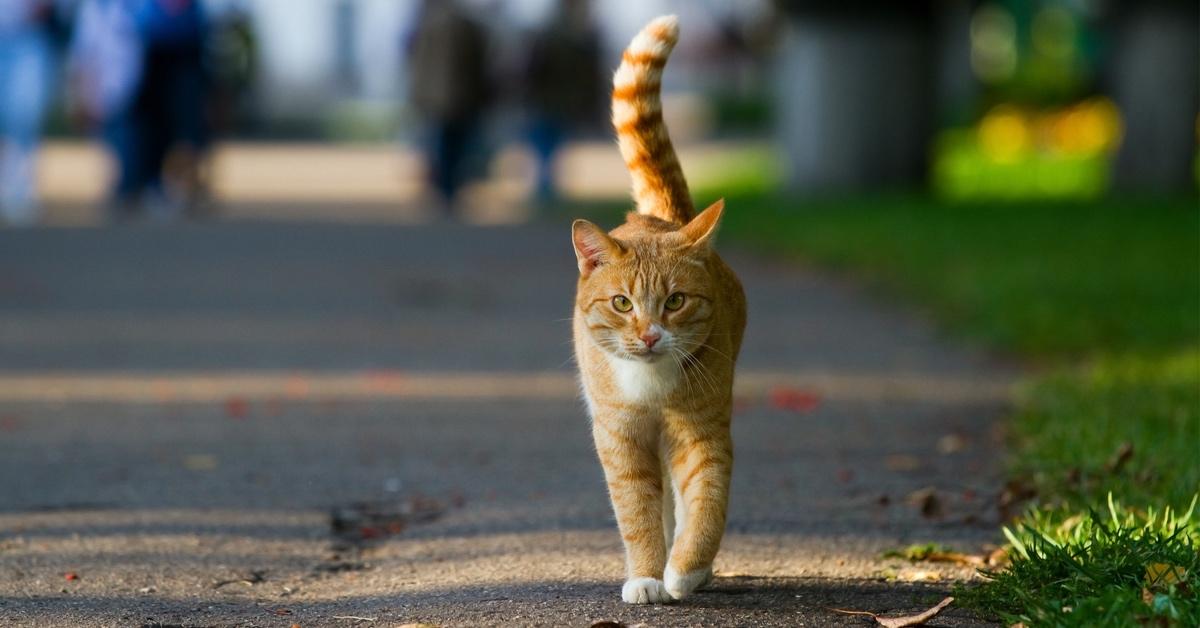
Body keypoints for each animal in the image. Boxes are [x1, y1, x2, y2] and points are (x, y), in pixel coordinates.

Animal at [568, 14, 739, 605]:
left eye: (676, 301)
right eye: (622, 304)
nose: (648, 335)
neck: (652, 385)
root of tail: (657, 217)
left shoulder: (702, 433)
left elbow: (707, 501)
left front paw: (686, 568)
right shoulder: (621, 440)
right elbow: (638, 513)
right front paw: (647, 574)